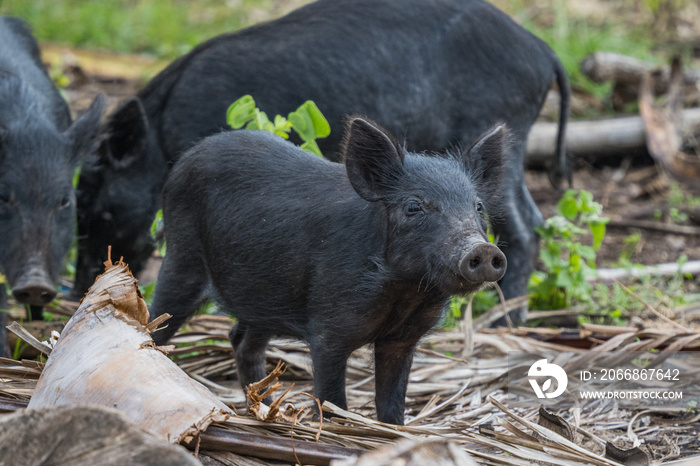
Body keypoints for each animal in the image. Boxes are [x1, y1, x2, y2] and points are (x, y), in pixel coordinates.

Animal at [149, 118, 508, 424]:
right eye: (413, 206)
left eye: (477, 206)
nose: (483, 249)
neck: (405, 293)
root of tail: (181, 163)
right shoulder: (328, 330)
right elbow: (332, 398)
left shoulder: (403, 339)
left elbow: (392, 402)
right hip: (182, 257)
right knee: (156, 323)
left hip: (262, 298)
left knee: (241, 341)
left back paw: (269, 413)